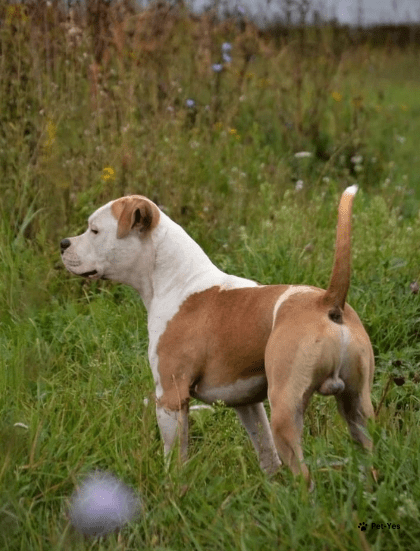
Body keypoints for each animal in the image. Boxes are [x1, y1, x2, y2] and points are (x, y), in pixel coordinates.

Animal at [61, 185, 374, 483]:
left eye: (94, 230)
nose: (63, 243)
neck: (178, 280)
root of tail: (328, 301)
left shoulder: (171, 398)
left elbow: (175, 460)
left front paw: (172, 491)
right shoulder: (247, 404)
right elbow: (266, 454)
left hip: (286, 411)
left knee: (304, 475)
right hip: (358, 408)